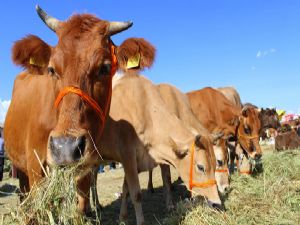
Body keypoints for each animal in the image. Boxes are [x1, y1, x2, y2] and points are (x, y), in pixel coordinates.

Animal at [3, 5, 155, 216]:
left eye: (105, 68)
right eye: (51, 69)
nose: (65, 148)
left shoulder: (86, 167)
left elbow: (80, 207)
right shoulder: (35, 168)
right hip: (21, 170)